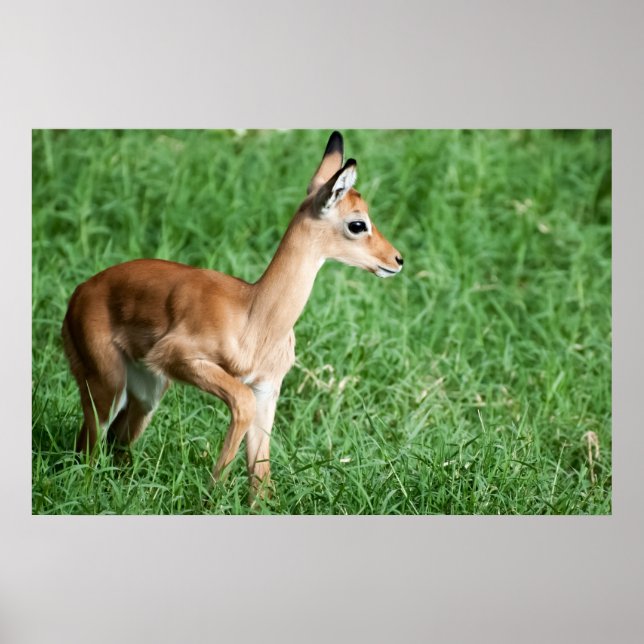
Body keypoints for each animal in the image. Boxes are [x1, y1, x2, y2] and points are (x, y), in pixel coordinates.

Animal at [61, 131, 404, 500]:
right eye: (358, 223)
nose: (397, 259)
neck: (254, 317)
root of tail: (80, 292)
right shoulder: (184, 359)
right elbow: (241, 403)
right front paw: (211, 494)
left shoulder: (267, 388)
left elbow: (262, 473)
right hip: (106, 384)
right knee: (88, 450)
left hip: (146, 391)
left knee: (116, 443)